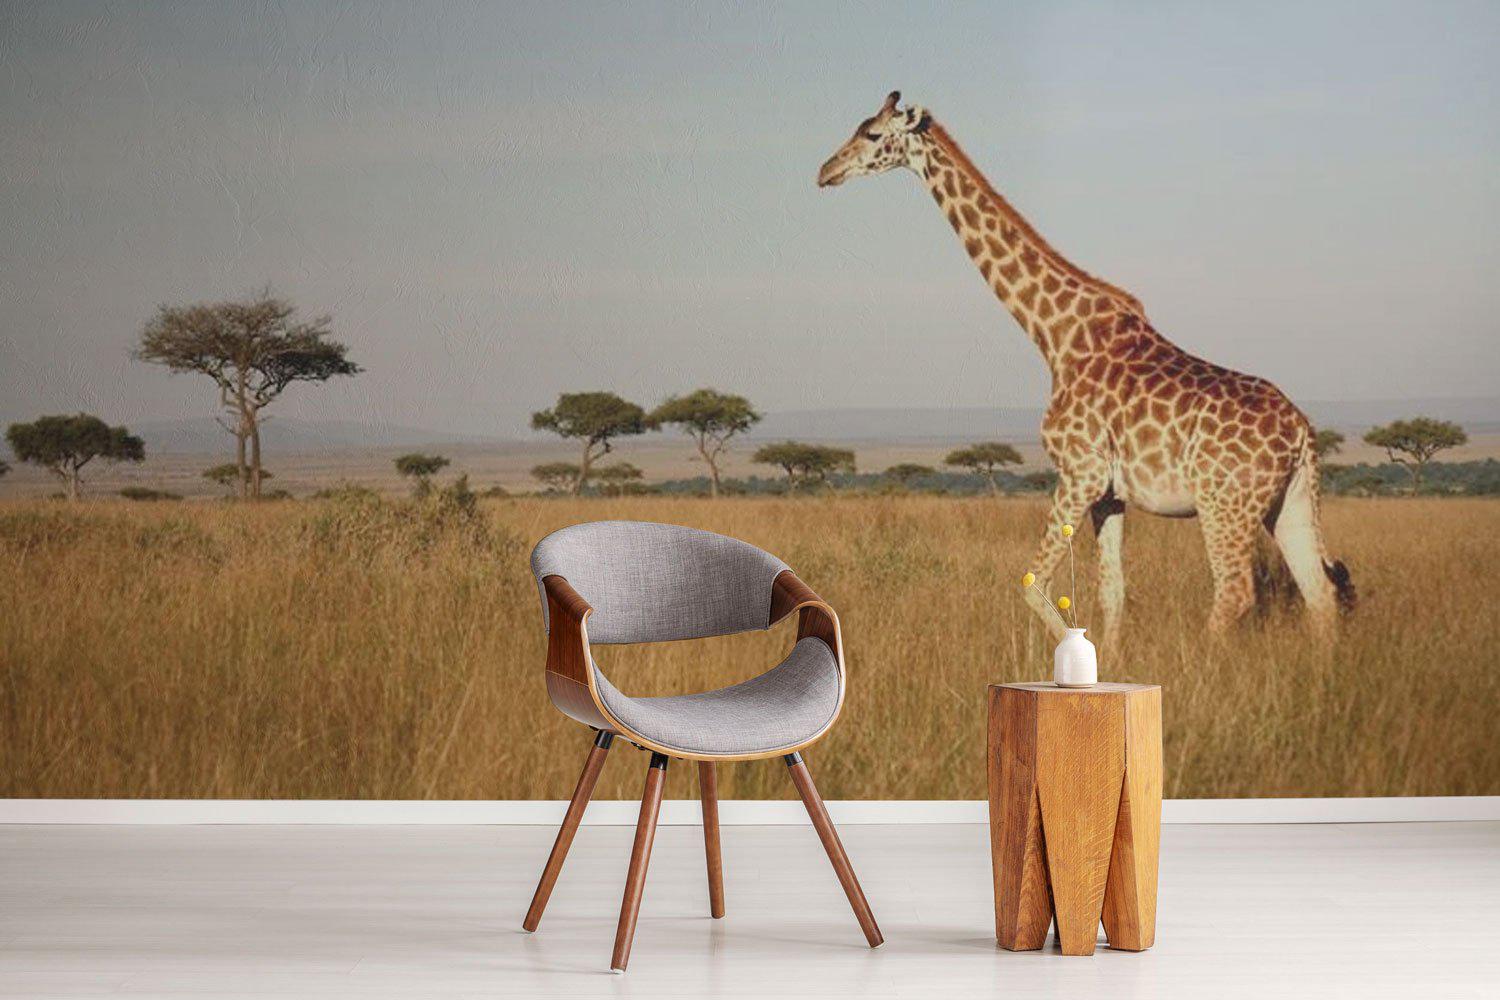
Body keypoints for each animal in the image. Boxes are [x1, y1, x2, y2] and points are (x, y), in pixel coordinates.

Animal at [817, 92, 1355, 639]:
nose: (825, 171)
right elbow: (1112, 593)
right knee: (1319, 592)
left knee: (1235, 591)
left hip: (1223, 504)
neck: (1056, 336)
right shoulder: (1109, 494)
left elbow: (1034, 584)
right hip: (1288, 502)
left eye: (873, 135)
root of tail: (1302, 433)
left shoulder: (1080, 473)